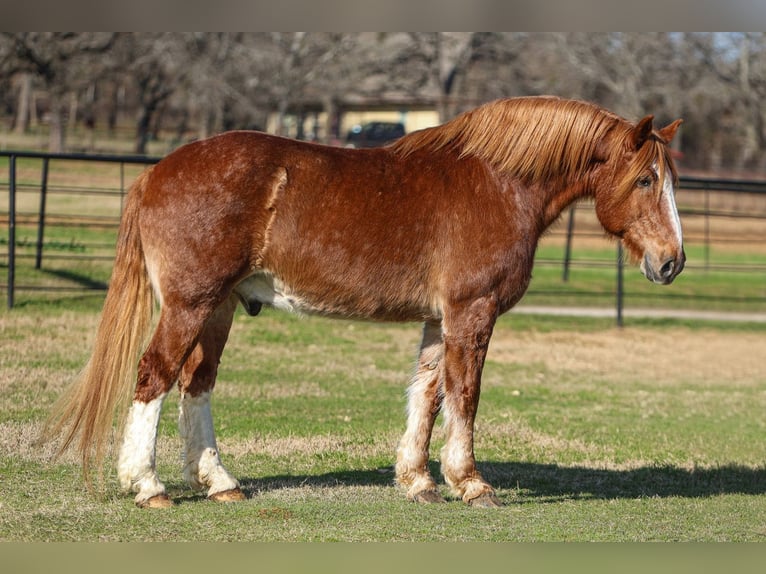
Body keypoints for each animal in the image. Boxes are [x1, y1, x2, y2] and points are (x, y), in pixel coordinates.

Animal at [45, 97, 688, 510]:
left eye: (668, 180)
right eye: (645, 181)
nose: (672, 261)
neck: (498, 184)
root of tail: (155, 174)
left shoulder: (439, 318)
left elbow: (428, 393)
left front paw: (419, 481)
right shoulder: (471, 311)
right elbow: (465, 394)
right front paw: (470, 483)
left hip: (218, 307)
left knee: (195, 383)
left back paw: (221, 482)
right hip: (190, 304)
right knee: (154, 375)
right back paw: (148, 486)